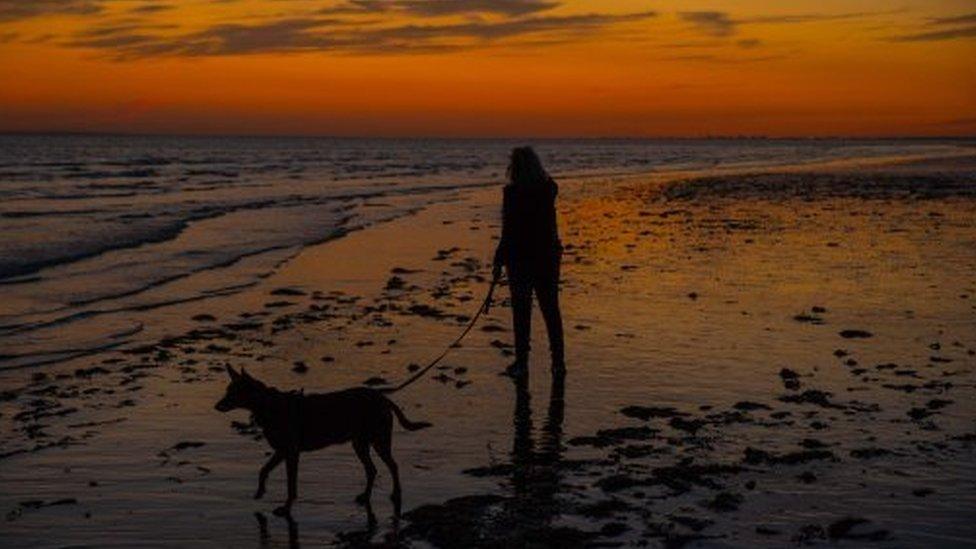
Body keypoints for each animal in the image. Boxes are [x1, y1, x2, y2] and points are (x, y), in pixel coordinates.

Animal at [215, 366, 428, 516]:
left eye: (233, 392)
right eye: (227, 390)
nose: (216, 406)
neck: (270, 405)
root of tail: (383, 397)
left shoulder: (291, 453)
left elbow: (291, 485)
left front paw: (286, 508)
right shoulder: (282, 451)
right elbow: (263, 470)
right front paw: (260, 491)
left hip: (379, 441)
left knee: (392, 466)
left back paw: (396, 494)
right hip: (360, 443)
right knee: (372, 470)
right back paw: (365, 496)